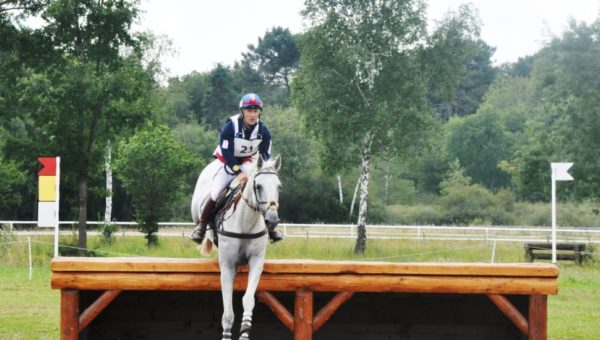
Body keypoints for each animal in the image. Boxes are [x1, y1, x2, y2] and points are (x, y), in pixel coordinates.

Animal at [191, 155, 282, 338]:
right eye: (258, 186)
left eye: (279, 187)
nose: (272, 220)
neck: (246, 222)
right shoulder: (227, 267)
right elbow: (227, 313)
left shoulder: (256, 262)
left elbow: (248, 299)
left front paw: (245, 330)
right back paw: (199, 231)